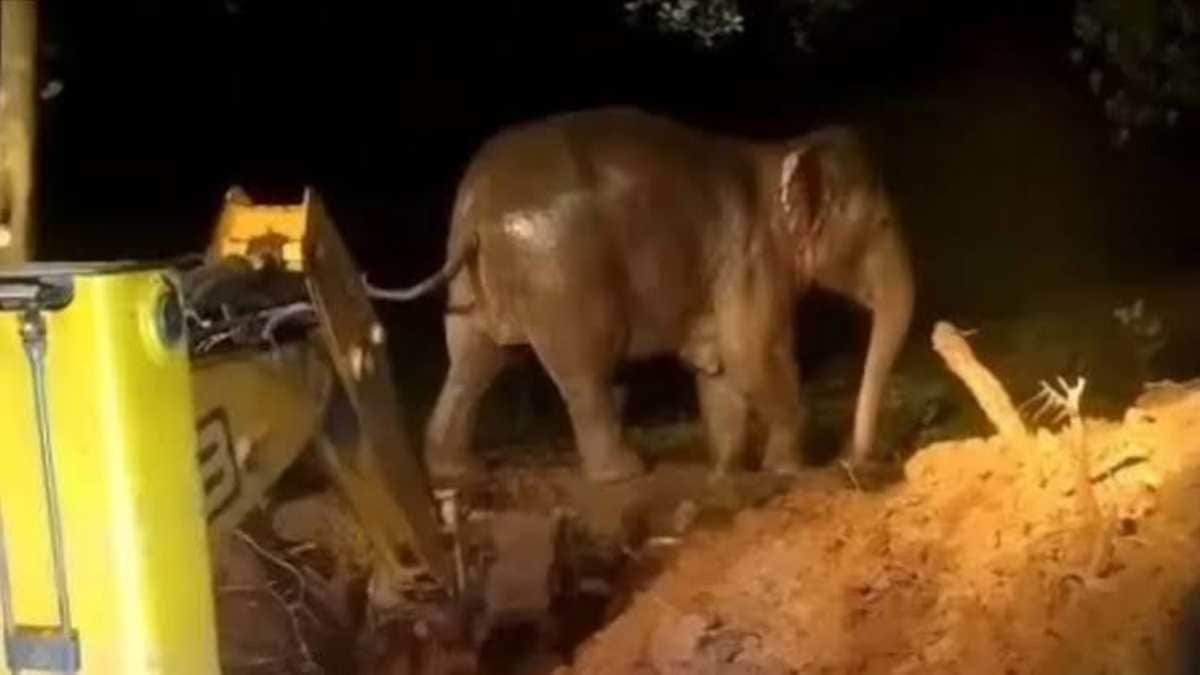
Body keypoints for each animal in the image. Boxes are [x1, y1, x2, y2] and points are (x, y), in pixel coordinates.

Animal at [367, 106, 915, 484]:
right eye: (884, 223)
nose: (855, 458)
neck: (779, 152)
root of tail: (479, 208)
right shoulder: (752, 262)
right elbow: (753, 356)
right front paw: (789, 469)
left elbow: (719, 372)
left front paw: (725, 471)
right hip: (563, 276)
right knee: (584, 370)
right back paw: (624, 472)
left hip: (470, 288)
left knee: (473, 363)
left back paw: (455, 472)